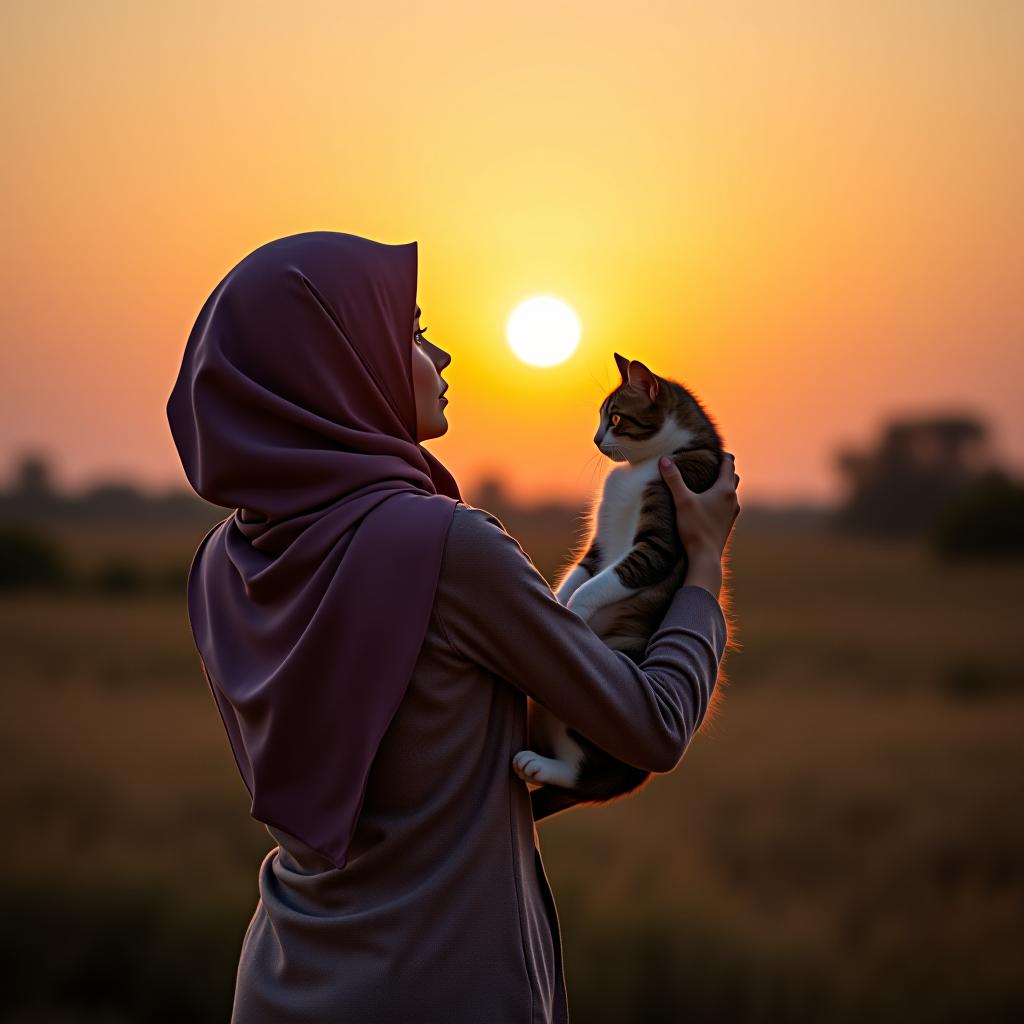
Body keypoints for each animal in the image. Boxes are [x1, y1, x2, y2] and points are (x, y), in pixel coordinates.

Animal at [512, 356, 729, 819]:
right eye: (600, 418)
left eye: (614, 418)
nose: (595, 438)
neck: (641, 467)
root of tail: (633, 778)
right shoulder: (597, 548)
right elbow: (575, 578)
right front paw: (551, 605)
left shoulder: (657, 544)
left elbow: (595, 587)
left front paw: (570, 616)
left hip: (616, 671)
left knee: (584, 773)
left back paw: (538, 764)